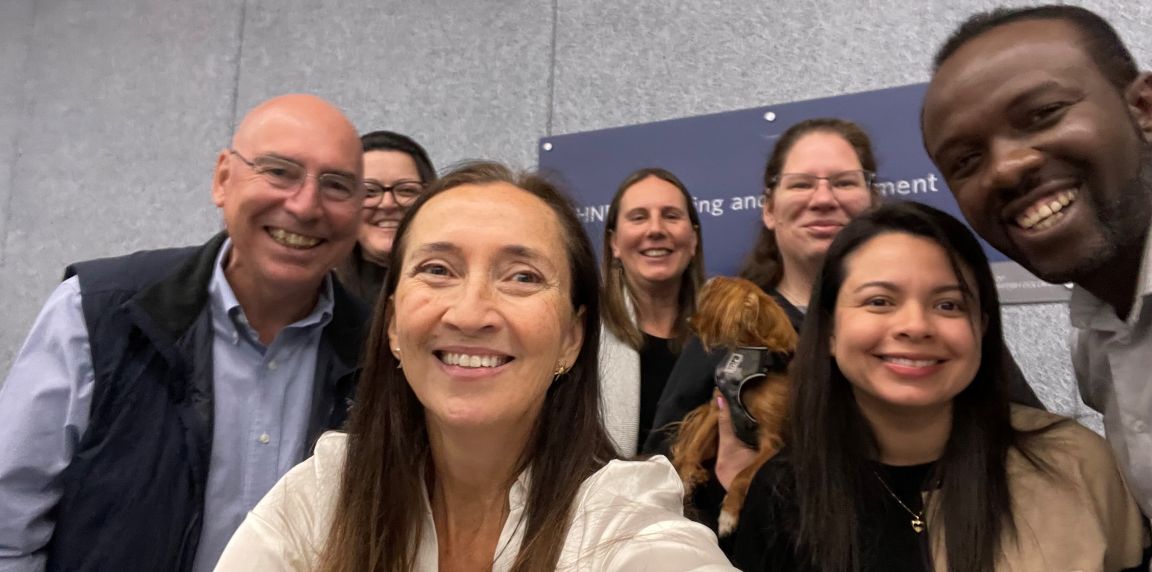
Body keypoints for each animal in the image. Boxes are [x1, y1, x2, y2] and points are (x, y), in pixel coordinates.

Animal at [672, 276, 797, 534]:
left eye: (709, 308)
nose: (689, 322)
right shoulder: (716, 409)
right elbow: (693, 447)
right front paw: (685, 477)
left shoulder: (771, 442)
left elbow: (742, 475)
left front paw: (728, 514)